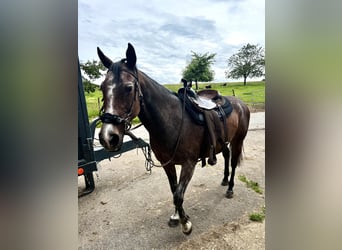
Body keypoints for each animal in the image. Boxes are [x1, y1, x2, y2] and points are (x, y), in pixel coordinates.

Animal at [97, 43, 250, 234]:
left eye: (129, 87)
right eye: (102, 87)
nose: (108, 137)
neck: (173, 121)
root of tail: (241, 103)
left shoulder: (189, 164)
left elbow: (178, 195)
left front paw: (186, 223)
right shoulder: (167, 164)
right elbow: (173, 189)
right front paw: (177, 216)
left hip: (238, 141)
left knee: (234, 162)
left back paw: (230, 188)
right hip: (223, 142)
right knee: (227, 155)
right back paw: (223, 180)